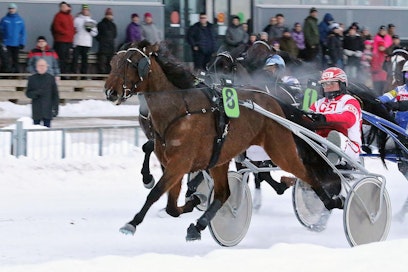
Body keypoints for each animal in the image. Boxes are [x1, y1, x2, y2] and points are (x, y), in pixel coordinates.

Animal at [103, 41, 342, 241]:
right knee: (224, 192)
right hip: (222, 158)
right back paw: (198, 225)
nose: (110, 92)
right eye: (113, 63)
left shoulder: (180, 162)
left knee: (305, 174)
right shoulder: (175, 162)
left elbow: (156, 192)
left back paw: (330, 200)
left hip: (280, 150)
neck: (180, 109)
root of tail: (274, 101)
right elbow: (171, 205)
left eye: (132, 63)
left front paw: (132, 223)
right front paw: (191, 200)